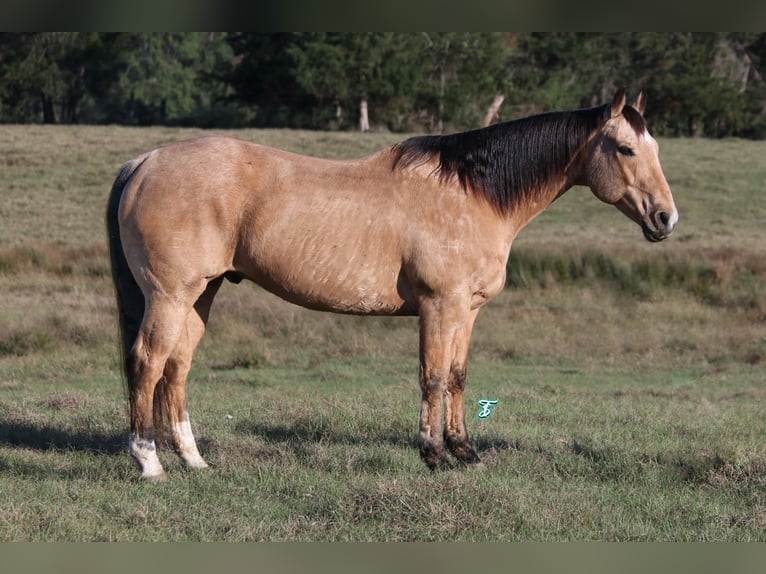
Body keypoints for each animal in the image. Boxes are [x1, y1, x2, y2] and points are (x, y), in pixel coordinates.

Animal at [106, 88, 680, 482]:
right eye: (625, 149)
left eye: (654, 147)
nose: (665, 218)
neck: (472, 193)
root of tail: (145, 161)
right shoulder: (439, 307)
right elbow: (432, 377)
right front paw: (432, 454)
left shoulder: (467, 311)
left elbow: (457, 378)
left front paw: (466, 452)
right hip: (170, 295)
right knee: (148, 363)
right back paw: (150, 463)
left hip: (201, 294)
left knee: (176, 369)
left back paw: (194, 460)